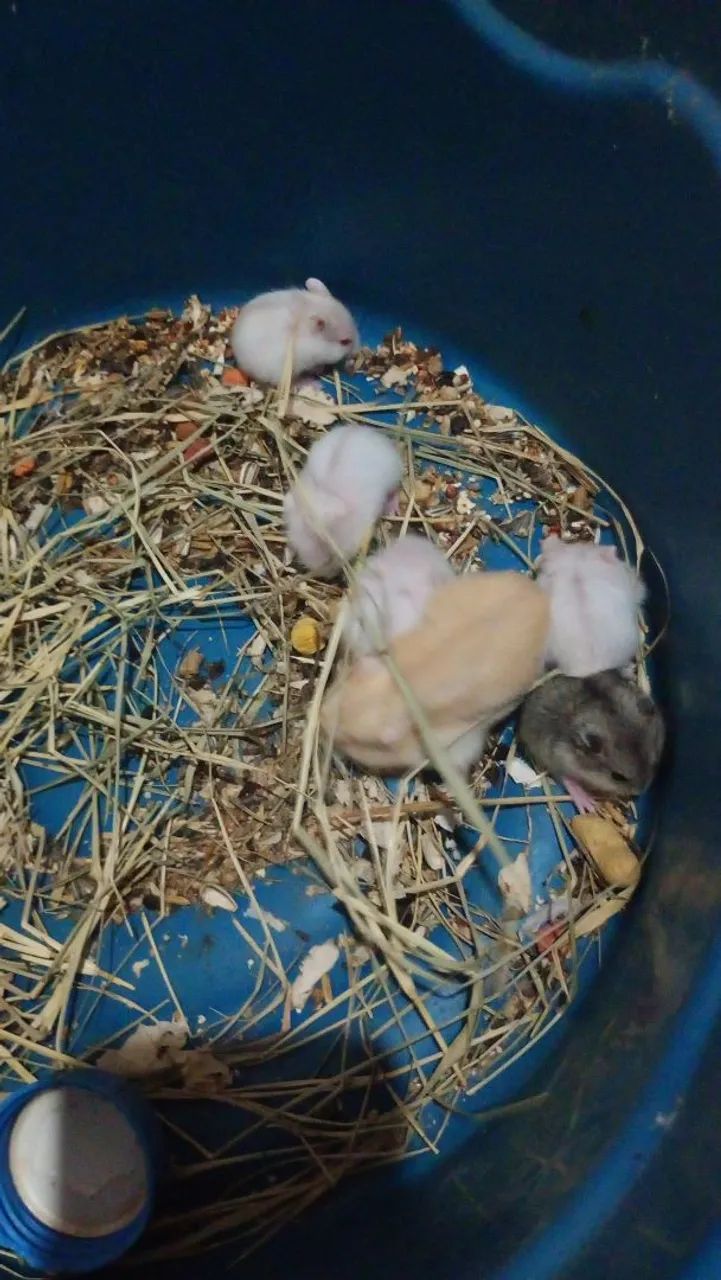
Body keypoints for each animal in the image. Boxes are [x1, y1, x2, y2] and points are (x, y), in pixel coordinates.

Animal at [518, 669, 665, 805]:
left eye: (654, 763)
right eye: (617, 777)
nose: (641, 791)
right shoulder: (560, 755)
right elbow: (567, 779)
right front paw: (591, 805)